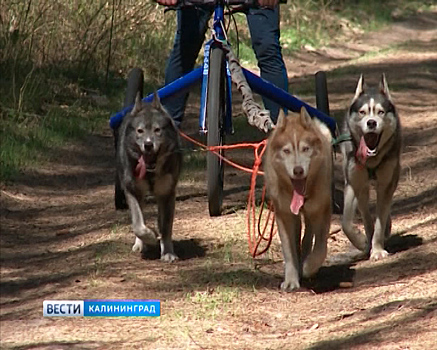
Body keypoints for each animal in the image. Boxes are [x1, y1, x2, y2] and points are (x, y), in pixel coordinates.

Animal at [115, 91, 181, 262]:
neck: (151, 171)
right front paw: (150, 237)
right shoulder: (132, 190)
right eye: (140, 131)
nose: (148, 144)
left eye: (158, 130)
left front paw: (168, 252)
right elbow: (138, 225)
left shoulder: (167, 192)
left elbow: (166, 226)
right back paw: (140, 244)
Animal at [264, 108, 332, 292]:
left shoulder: (322, 210)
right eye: (286, 151)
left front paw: (309, 266)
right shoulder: (284, 215)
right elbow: (289, 250)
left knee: (308, 236)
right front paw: (291, 279)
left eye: (305, 149)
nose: (298, 170)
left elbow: (321, 246)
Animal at [340, 74, 402, 260]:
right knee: (365, 209)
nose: (372, 123)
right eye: (363, 112)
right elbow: (347, 222)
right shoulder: (354, 183)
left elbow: (380, 221)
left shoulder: (386, 184)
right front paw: (361, 241)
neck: (371, 161)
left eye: (381, 112)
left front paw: (378, 249)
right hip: (362, 188)